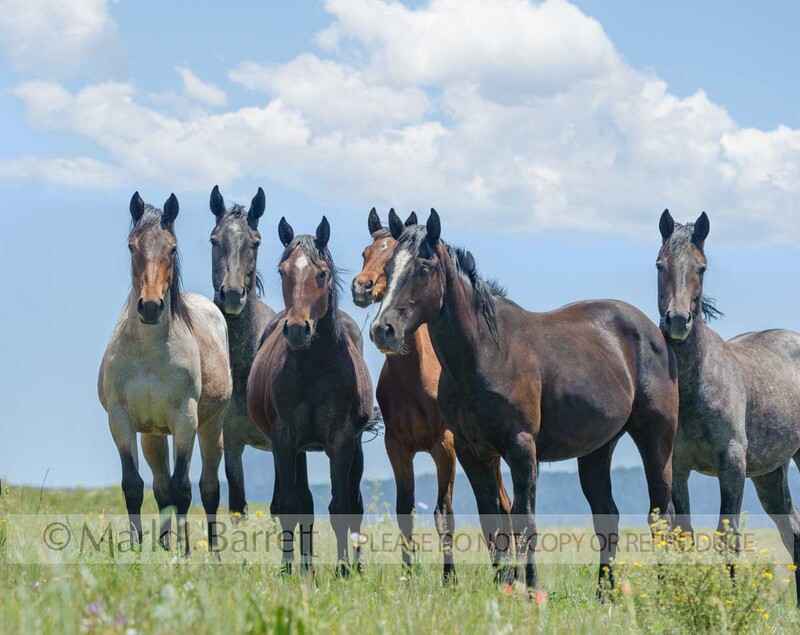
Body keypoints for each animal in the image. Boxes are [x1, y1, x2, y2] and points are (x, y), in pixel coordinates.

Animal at [98, 193, 232, 554]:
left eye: (172, 248)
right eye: (132, 246)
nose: (150, 306)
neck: (149, 354)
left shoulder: (185, 419)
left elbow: (183, 488)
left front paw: (185, 554)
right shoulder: (121, 420)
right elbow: (134, 485)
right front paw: (135, 548)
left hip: (211, 428)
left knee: (209, 488)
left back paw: (212, 552)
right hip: (154, 435)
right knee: (160, 487)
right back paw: (164, 544)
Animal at [247, 216, 373, 575]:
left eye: (322, 273)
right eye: (282, 271)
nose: (297, 329)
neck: (315, 369)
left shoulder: (342, 441)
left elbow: (342, 507)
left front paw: (344, 569)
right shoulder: (284, 440)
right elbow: (292, 505)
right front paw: (289, 569)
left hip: (355, 447)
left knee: (355, 503)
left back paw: (356, 565)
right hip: (298, 449)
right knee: (300, 500)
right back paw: (304, 566)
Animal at [352, 208, 511, 583]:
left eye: (388, 256)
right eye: (366, 253)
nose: (362, 287)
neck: (413, 378)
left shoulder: (446, 447)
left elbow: (444, 514)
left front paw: (449, 577)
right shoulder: (396, 446)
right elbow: (404, 511)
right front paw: (409, 575)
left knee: (503, 504)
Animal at [370, 209, 678, 591]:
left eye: (423, 268)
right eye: (388, 267)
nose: (383, 330)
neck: (487, 352)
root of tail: (654, 331)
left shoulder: (521, 447)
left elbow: (524, 519)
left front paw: (529, 586)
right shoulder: (472, 451)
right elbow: (493, 520)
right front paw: (503, 582)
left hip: (656, 441)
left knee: (661, 515)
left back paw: (666, 586)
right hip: (597, 450)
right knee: (607, 516)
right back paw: (604, 594)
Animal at [657, 210, 800, 604]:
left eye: (701, 267)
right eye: (660, 264)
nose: (677, 320)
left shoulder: (732, 465)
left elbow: (728, 538)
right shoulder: (680, 469)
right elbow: (685, 537)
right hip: (770, 475)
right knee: (793, 533)